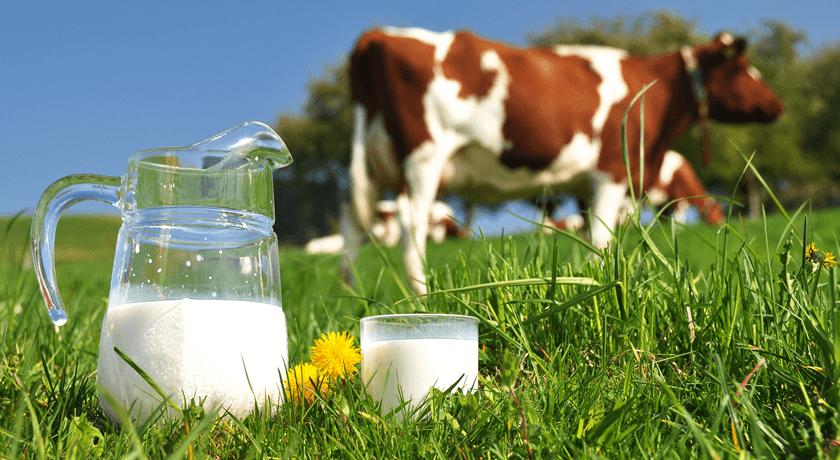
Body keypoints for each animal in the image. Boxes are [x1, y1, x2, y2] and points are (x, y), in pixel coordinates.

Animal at [342, 27, 780, 292]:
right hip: (424, 158)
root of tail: (377, 34)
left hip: (373, 163)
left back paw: (350, 294)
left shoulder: (589, 185)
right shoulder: (611, 172)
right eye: (741, 67)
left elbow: (591, 236)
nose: (778, 105)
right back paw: (422, 295)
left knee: (354, 223)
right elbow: (602, 237)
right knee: (410, 222)